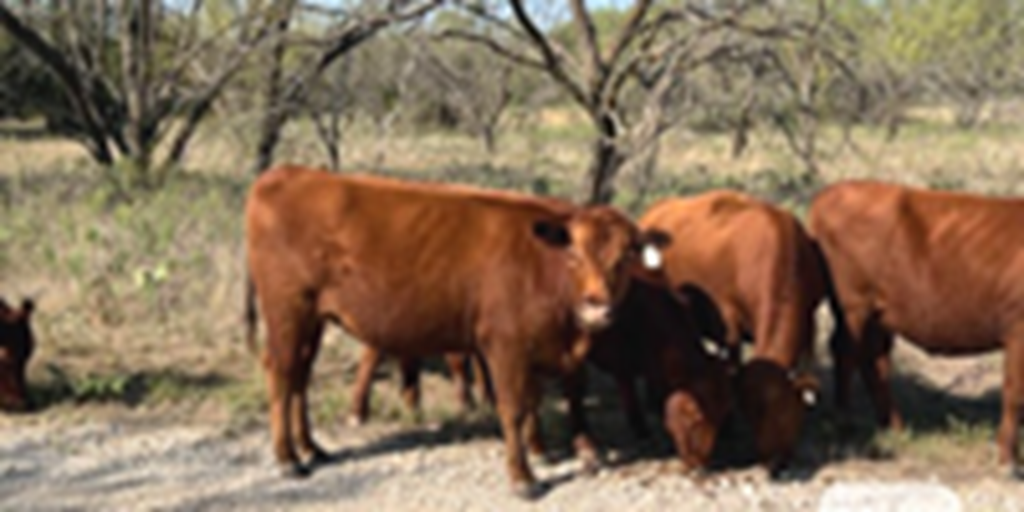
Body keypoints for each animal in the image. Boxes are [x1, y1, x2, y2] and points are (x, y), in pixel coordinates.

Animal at [246, 165, 663, 497]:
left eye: (625, 257)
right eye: (574, 256)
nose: (597, 305)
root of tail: (288, 172)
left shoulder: (556, 348)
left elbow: (559, 397)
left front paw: (565, 451)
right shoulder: (505, 345)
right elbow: (514, 407)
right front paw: (523, 477)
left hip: (311, 320)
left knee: (299, 375)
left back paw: (311, 448)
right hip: (288, 311)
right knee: (280, 373)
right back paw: (287, 458)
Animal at [811, 181, 1024, 471]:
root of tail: (833, 191)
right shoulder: (1018, 331)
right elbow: (1014, 394)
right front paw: (1007, 458)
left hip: (880, 314)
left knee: (874, 360)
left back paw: (894, 427)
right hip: (853, 304)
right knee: (846, 353)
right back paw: (844, 422)